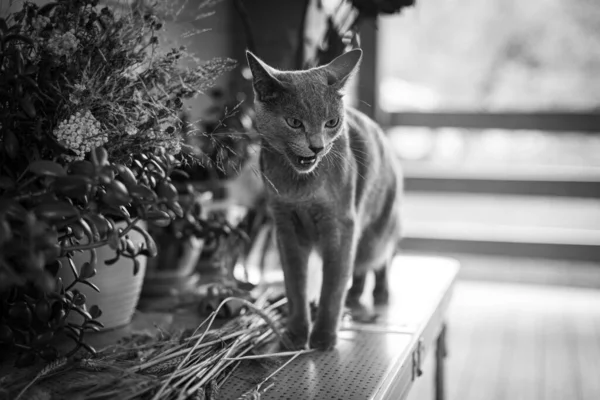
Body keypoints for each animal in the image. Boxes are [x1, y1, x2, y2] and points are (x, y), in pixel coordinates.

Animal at [244, 49, 404, 350]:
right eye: (294, 122)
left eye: (332, 123)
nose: (316, 147)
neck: (302, 189)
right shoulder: (285, 225)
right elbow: (295, 285)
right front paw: (295, 333)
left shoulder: (341, 224)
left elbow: (332, 285)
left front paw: (323, 337)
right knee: (359, 268)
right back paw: (355, 295)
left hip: (378, 229)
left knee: (379, 258)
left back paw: (380, 292)